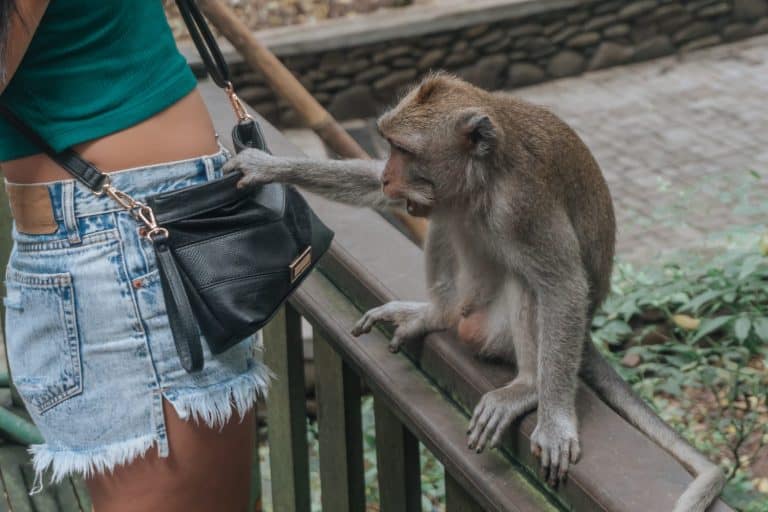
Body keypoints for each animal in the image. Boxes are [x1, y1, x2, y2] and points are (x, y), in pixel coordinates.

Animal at [223, 73, 725, 512]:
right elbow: (383, 194)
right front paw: (266, 167)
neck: (483, 177)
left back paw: (527, 385)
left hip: (494, 328)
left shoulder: (524, 204)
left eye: (403, 149)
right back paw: (436, 314)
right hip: (467, 295)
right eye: (388, 147)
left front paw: (555, 419)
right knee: (445, 218)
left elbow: (563, 284)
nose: (389, 176)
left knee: (529, 283)